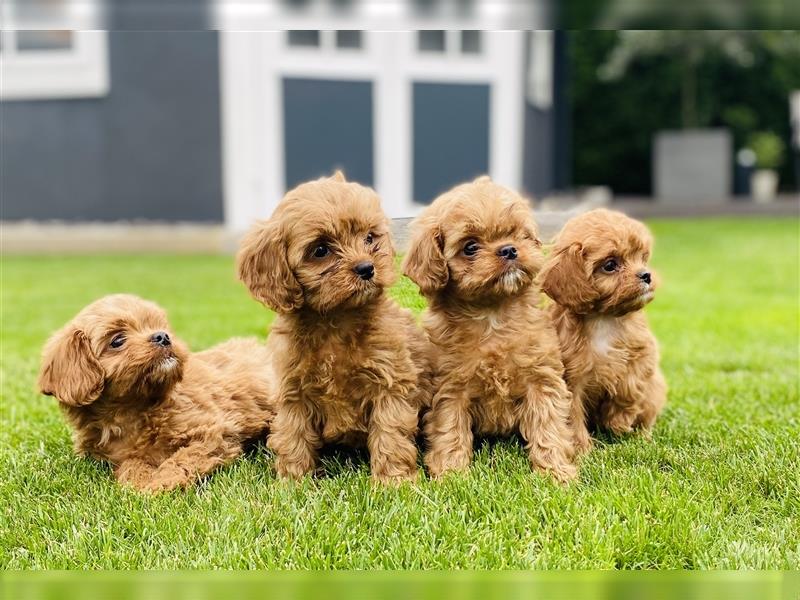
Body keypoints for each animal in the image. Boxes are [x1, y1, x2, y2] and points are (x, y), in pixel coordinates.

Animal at [37, 294, 276, 492]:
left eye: (160, 326)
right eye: (117, 340)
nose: (163, 336)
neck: (135, 408)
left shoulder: (212, 432)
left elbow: (184, 457)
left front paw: (162, 482)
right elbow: (131, 463)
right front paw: (139, 480)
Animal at [238, 171, 434, 486]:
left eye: (369, 238)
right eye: (321, 250)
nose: (367, 268)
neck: (336, 319)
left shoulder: (390, 383)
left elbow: (390, 434)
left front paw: (394, 482)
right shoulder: (293, 391)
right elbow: (293, 435)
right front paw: (293, 482)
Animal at [404, 175, 580, 482]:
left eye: (518, 234)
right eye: (470, 247)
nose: (508, 249)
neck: (493, 315)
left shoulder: (542, 379)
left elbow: (548, 427)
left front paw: (556, 472)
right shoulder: (450, 389)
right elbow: (450, 430)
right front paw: (452, 476)